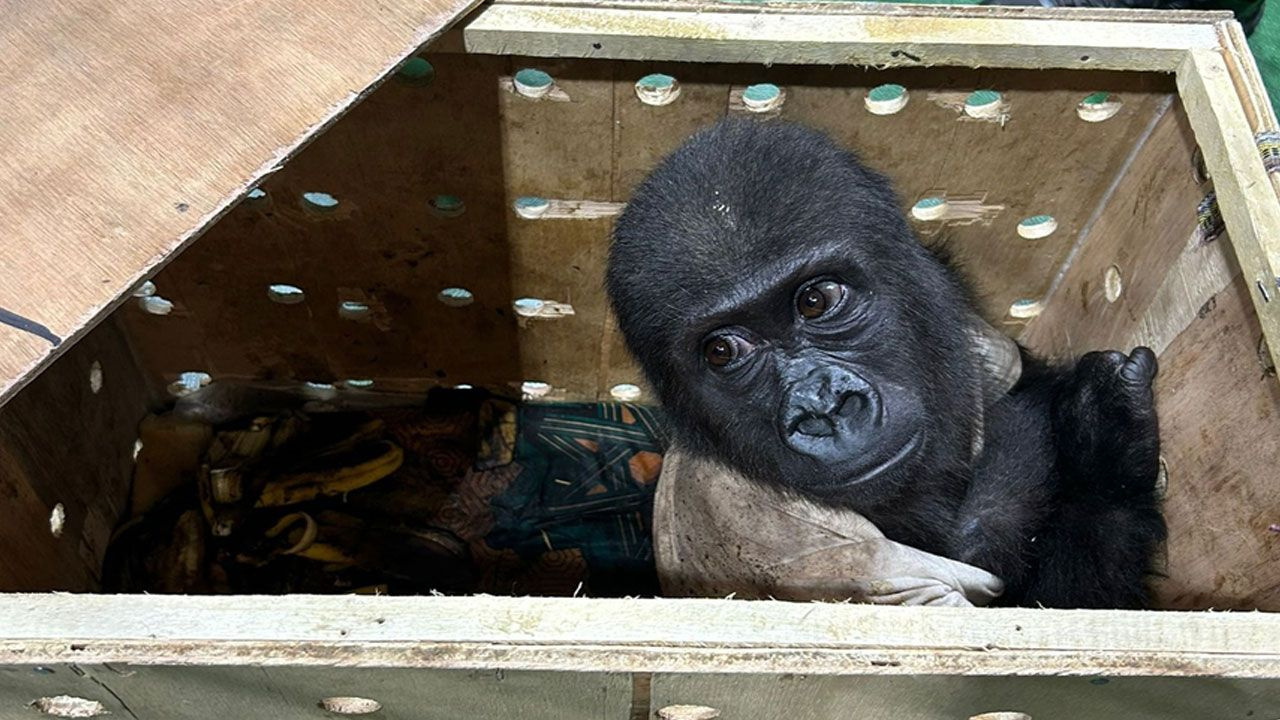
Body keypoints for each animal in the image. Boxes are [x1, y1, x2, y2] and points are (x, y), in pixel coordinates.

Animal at [609, 119, 1172, 604]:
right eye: (723, 351)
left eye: (816, 300)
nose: (823, 406)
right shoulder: (790, 540)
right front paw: (1105, 458)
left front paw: (1101, 439)